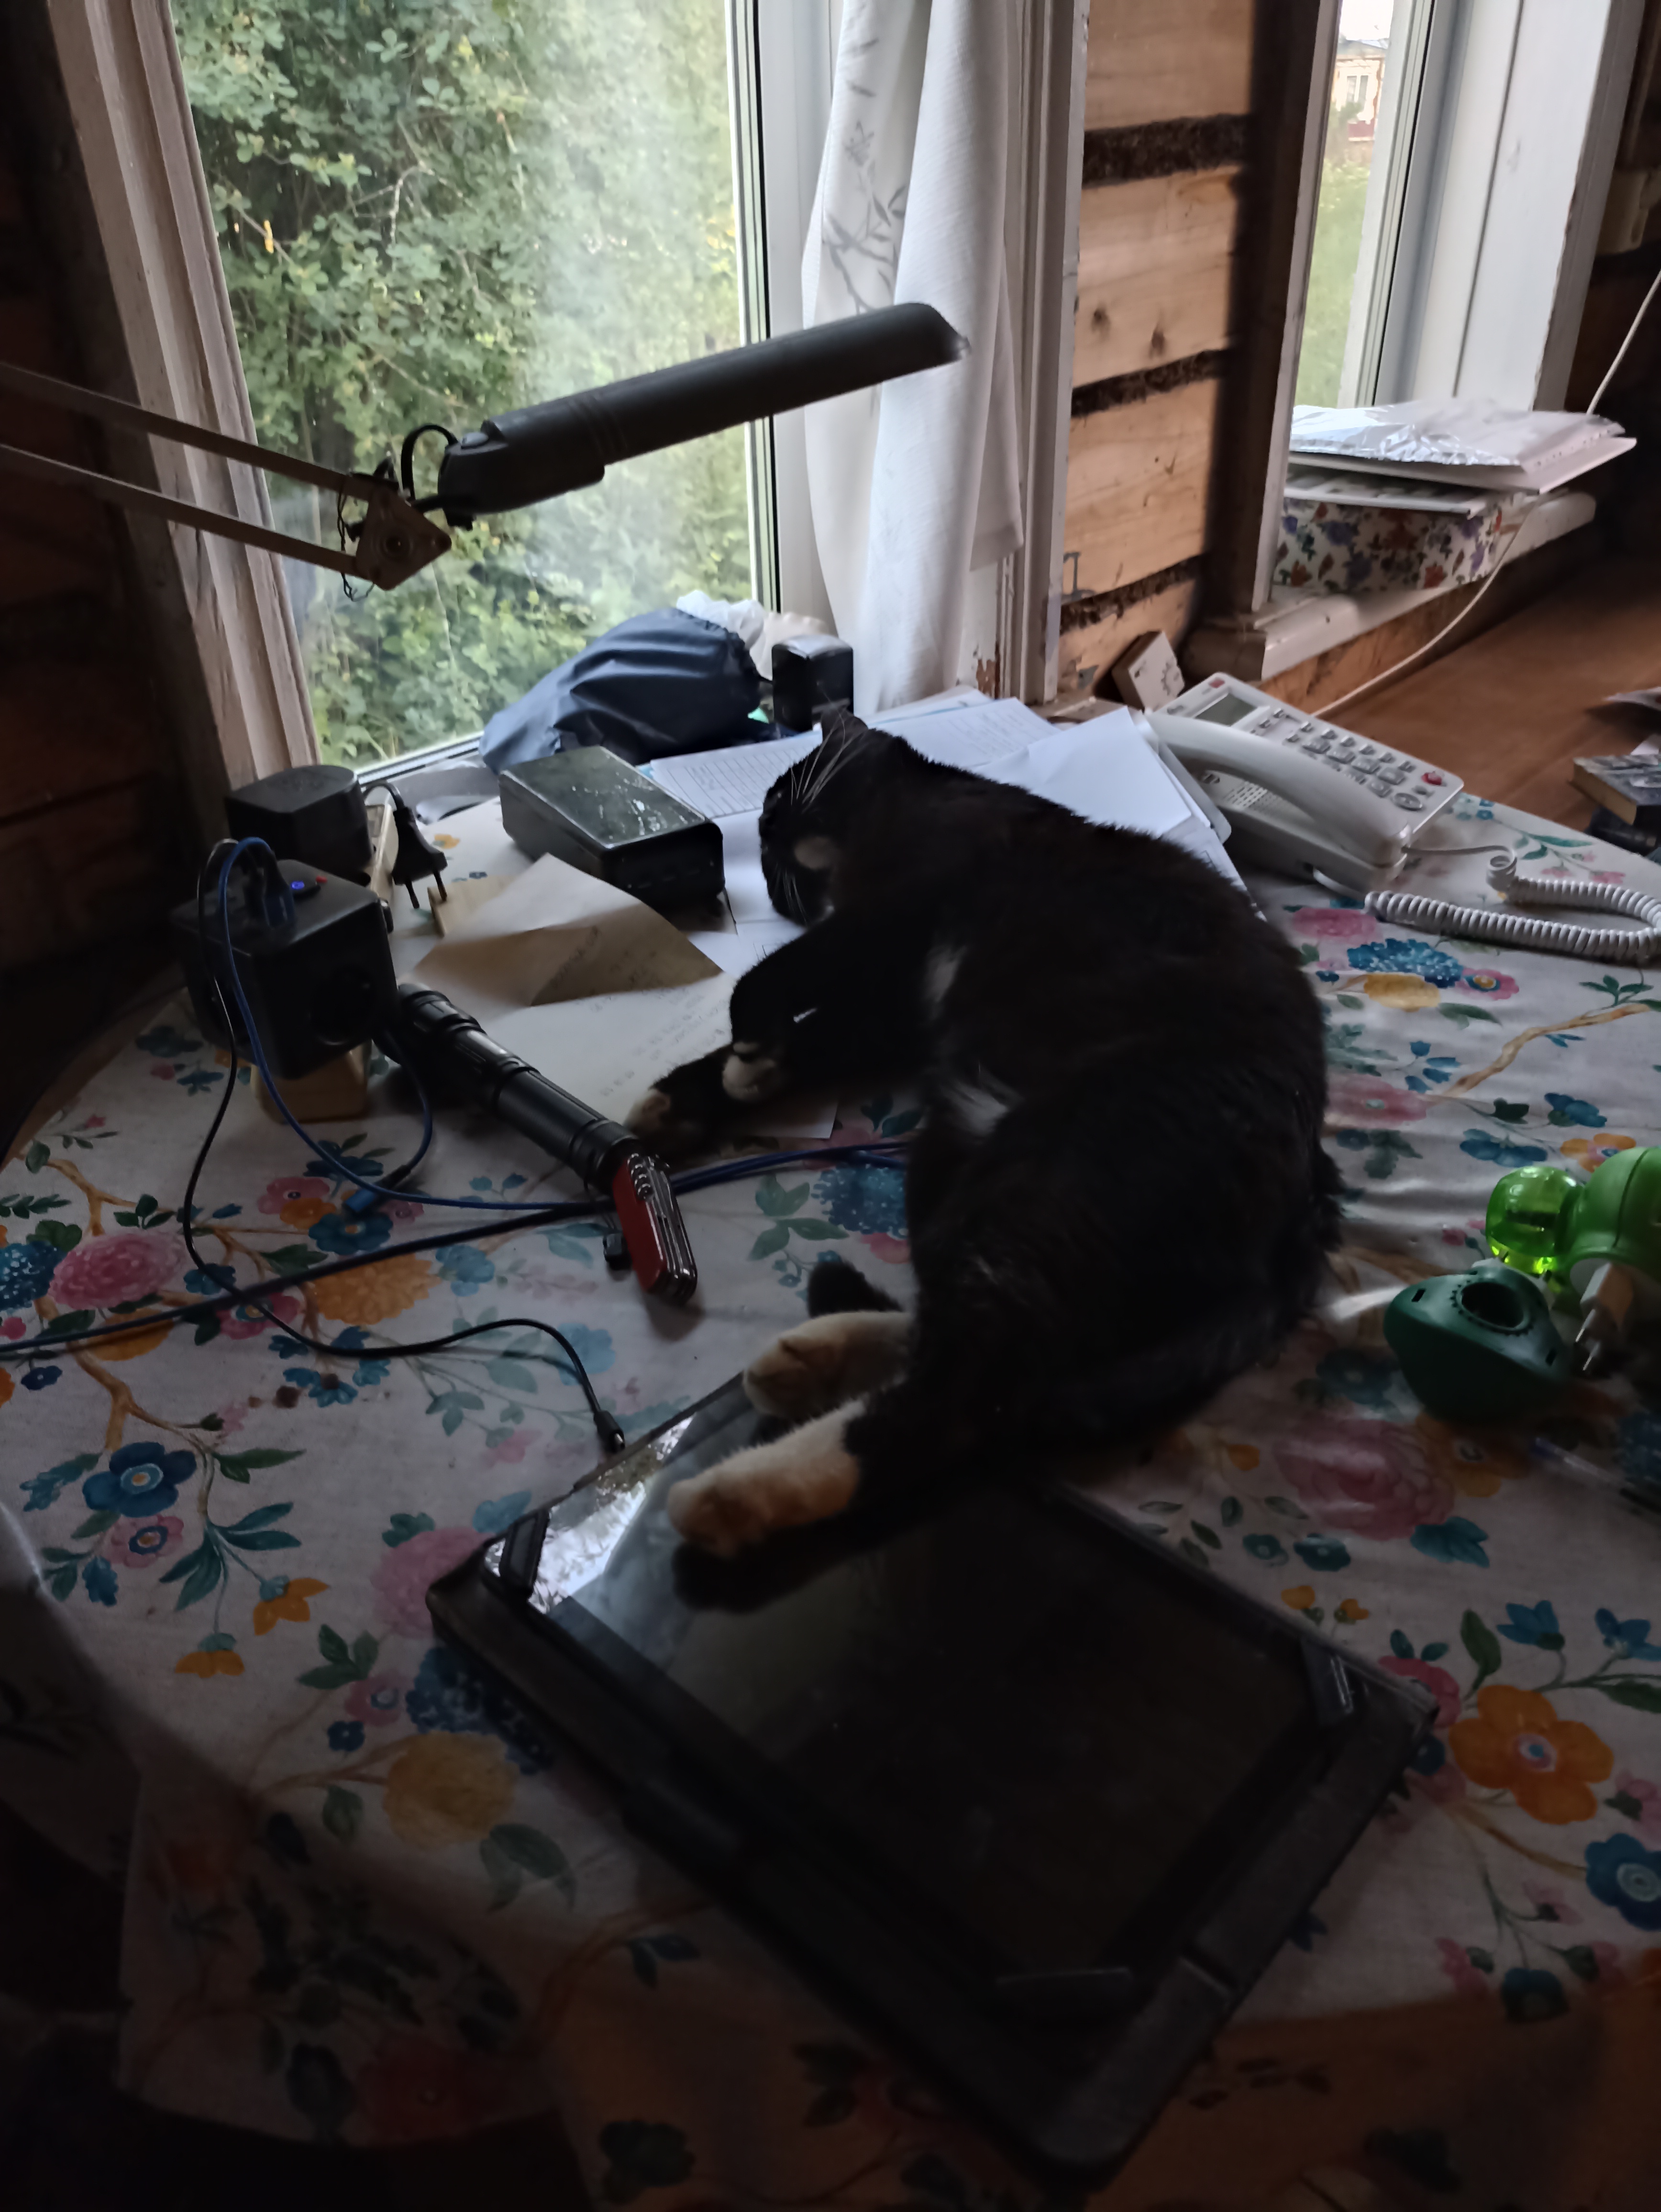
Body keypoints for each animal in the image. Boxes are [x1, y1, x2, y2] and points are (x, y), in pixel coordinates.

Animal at [628, 711, 1341, 1555]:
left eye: (775, 798)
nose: (765, 837)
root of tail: (1305, 1212)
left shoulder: (898, 907)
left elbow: (766, 980)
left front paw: (747, 1059)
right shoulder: (889, 1004)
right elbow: (816, 1036)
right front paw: (699, 1093)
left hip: (1051, 1177)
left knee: (965, 1396)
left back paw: (733, 1492)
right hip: (950, 1158)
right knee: (975, 1345)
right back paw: (813, 1358)